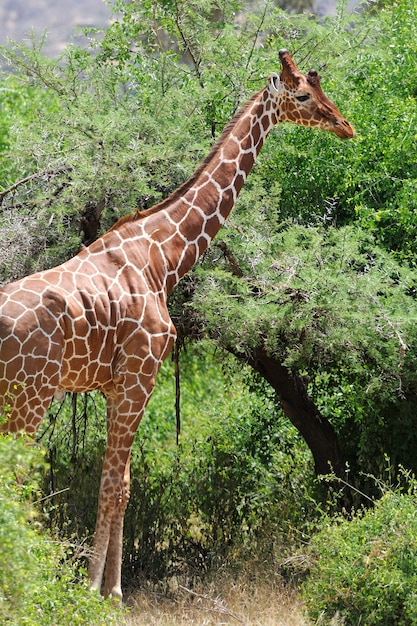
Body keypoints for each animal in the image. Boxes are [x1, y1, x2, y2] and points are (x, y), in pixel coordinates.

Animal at [0, 51, 354, 596]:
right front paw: (100, 592)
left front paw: (108, 589)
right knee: (15, 483)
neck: (163, 258)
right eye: (302, 95)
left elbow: (120, 482)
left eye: (321, 88)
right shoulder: (138, 378)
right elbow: (113, 485)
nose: (345, 125)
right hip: (30, 396)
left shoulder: (117, 385)